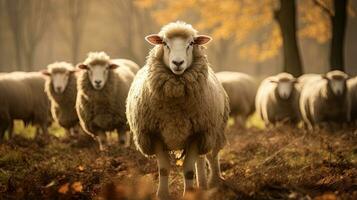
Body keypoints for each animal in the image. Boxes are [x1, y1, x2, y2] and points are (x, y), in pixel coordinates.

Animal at [125, 21, 229, 198]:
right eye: (165, 43)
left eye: (191, 43)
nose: (178, 63)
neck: (175, 107)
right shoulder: (155, 134)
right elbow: (164, 169)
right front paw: (162, 195)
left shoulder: (197, 133)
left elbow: (188, 170)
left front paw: (189, 194)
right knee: (201, 160)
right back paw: (202, 186)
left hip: (213, 131)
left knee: (211, 156)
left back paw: (213, 184)